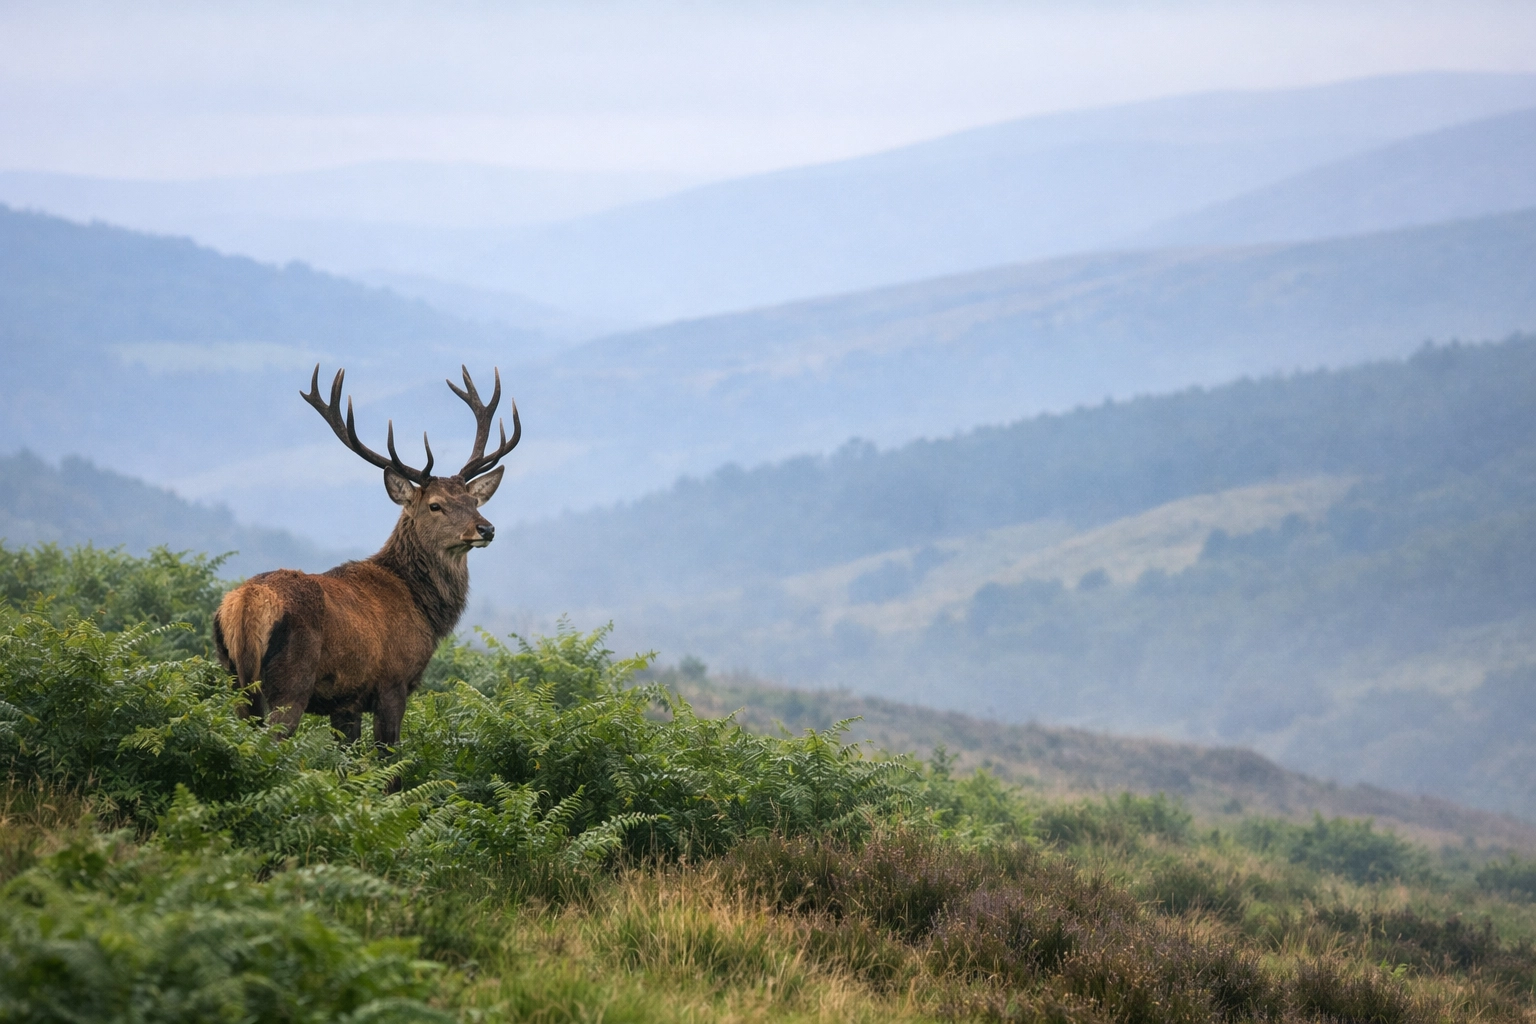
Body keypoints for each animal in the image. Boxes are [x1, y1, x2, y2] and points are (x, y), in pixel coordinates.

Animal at [212, 364, 519, 752]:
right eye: (435, 505)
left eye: (473, 500)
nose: (486, 528)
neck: (423, 609)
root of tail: (248, 602)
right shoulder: (393, 682)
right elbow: (389, 761)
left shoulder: (346, 702)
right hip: (291, 681)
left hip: (234, 680)